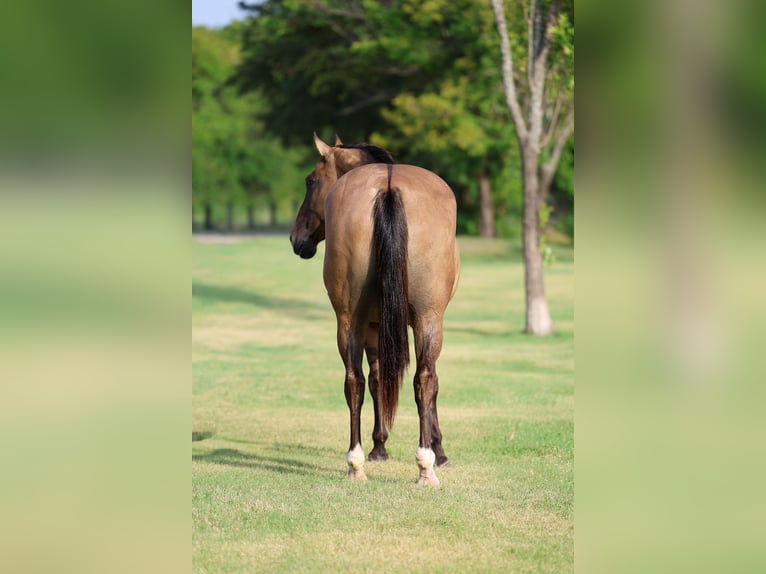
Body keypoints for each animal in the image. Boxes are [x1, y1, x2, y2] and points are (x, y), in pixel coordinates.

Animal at [289, 133, 460, 486]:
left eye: (311, 180)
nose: (296, 238)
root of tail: (389, 186)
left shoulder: (375, 326)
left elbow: (378, 377)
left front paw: (382, 447)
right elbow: (407, 380)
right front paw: (434, 450)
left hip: (352, 320)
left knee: (356, 380)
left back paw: (359, 464)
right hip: (425, 319)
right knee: (422, 379)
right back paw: (423, 465)